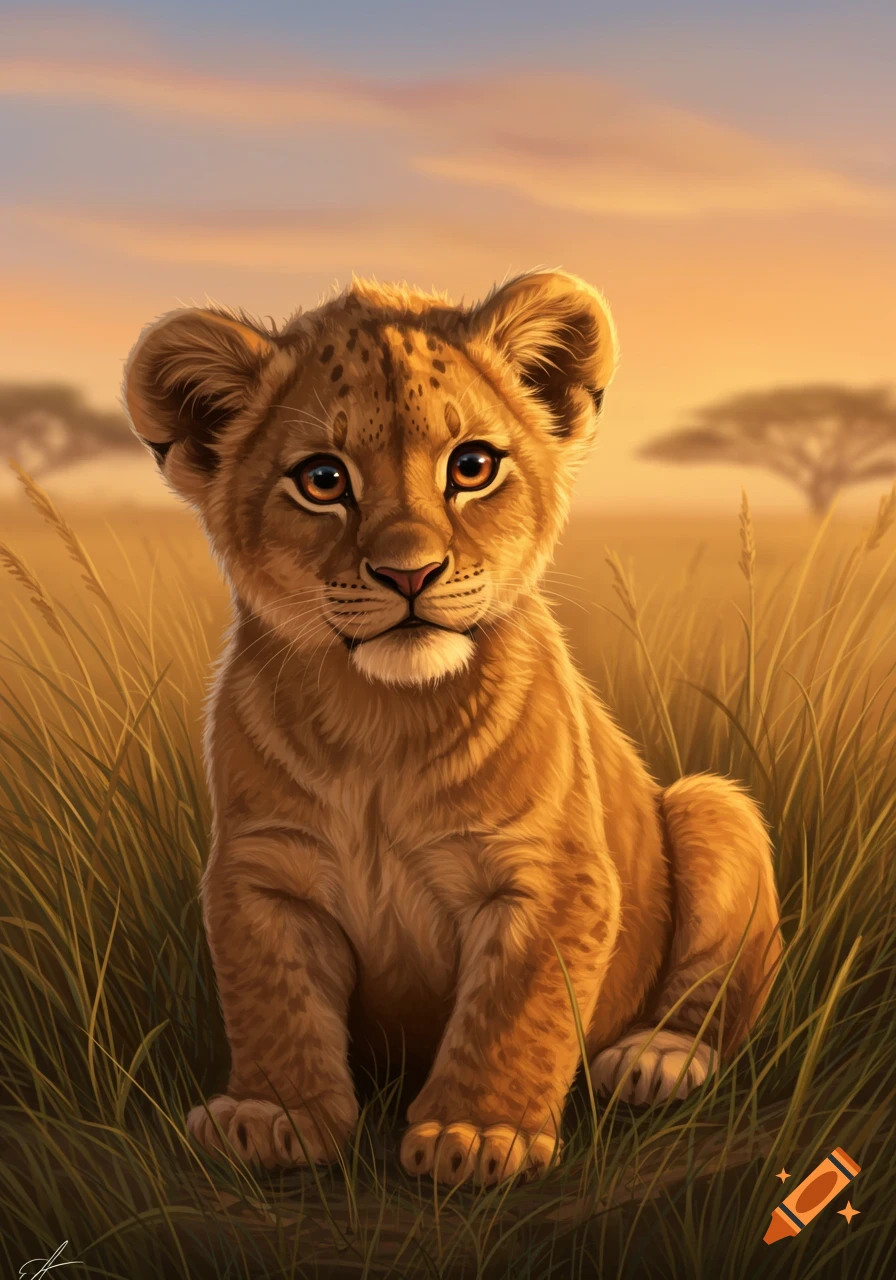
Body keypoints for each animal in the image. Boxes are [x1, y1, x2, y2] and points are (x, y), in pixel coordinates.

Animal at [123, 268, 782, 1186]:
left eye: (471, 466)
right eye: (322, 479)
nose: (410, 573)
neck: (381, 723)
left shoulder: (551, 878)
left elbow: (516, 1009)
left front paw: (478, 1133)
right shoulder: (264, 875)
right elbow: (274, 1000)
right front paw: (274, 1113)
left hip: (711, 808)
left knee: (712, 994)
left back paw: (656, 1057)